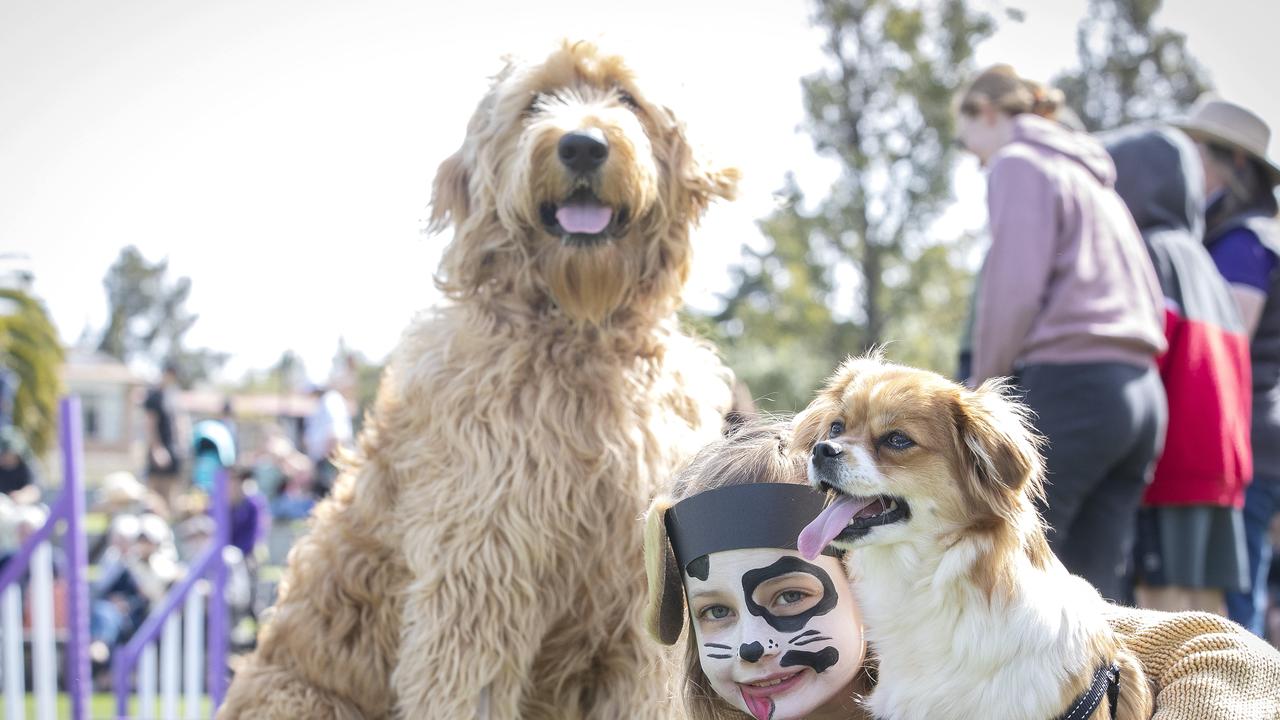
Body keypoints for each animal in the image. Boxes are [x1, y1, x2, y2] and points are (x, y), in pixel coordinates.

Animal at [221, 40, 742, 717]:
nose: (582, 146)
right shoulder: (478, 576)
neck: (578, 336)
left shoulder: (643, 607)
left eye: (626, 98)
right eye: (535, 101)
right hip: (297, 696)